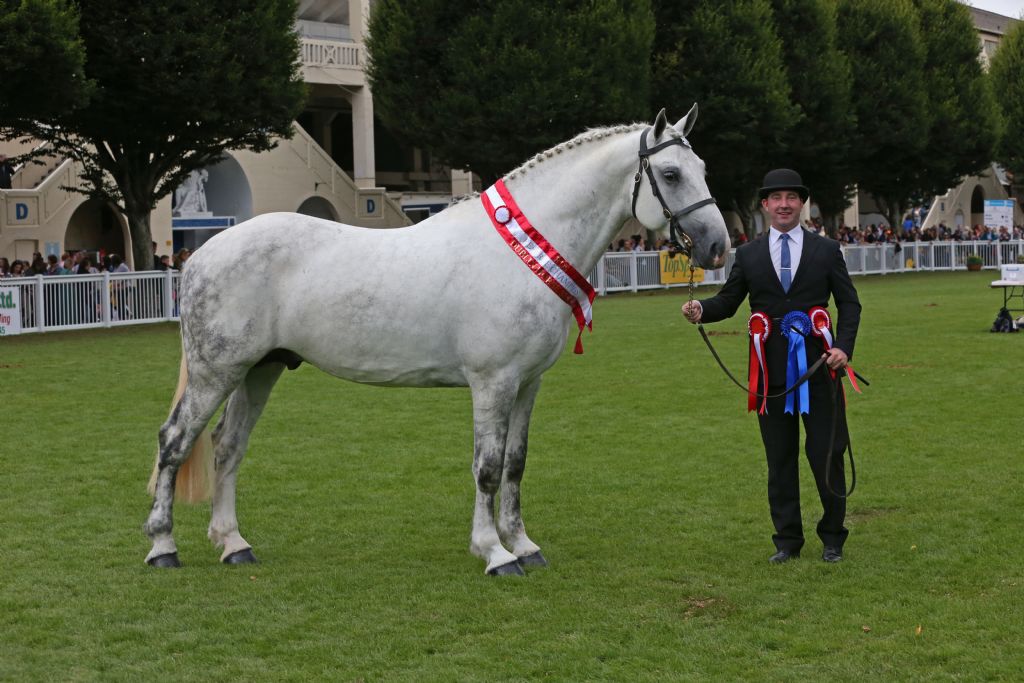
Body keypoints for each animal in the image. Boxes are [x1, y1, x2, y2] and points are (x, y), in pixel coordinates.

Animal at [144, 107, 730, 575]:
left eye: (704, 170)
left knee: (228, 446)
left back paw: (233, 544)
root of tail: (201, 254)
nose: (718, 246)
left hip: (259, 369)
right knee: (175, 442)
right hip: (216, 371)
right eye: (671, 173)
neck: (523, 249)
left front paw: (525, 545)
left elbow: (516, 464)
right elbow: (487, 468)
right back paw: (163, 548)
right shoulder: (492, 382)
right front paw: (495, 553)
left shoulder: (528, 384)